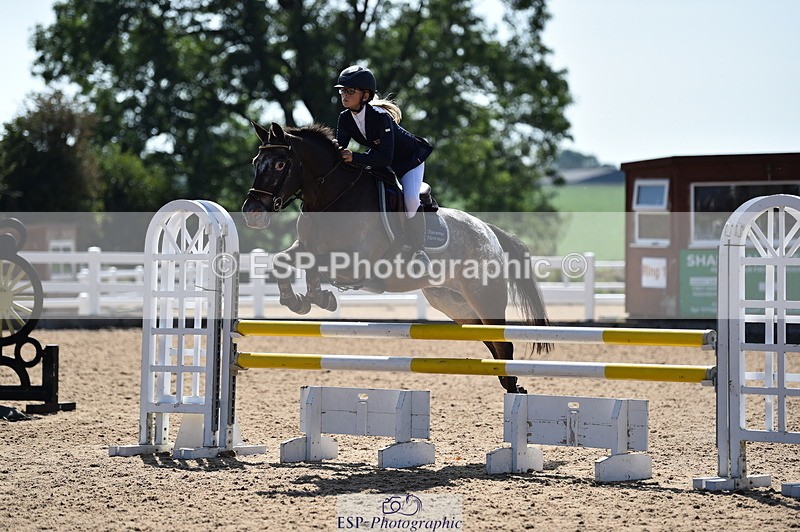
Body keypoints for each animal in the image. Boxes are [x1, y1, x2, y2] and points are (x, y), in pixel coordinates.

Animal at [242, 121, 551, 393]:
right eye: (255, 162)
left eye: (280, 164)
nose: (252, 213)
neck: (333, 198)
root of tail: (489, 231)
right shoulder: (305, 246)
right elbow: (284, 261)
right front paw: (299, 301)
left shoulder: (354, 263)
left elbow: (315, 265)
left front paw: (319, 298)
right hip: (453, 303)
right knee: (489, 340)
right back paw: (508, 383)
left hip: (485, 295)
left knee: (503, 342)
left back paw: (512, 387)